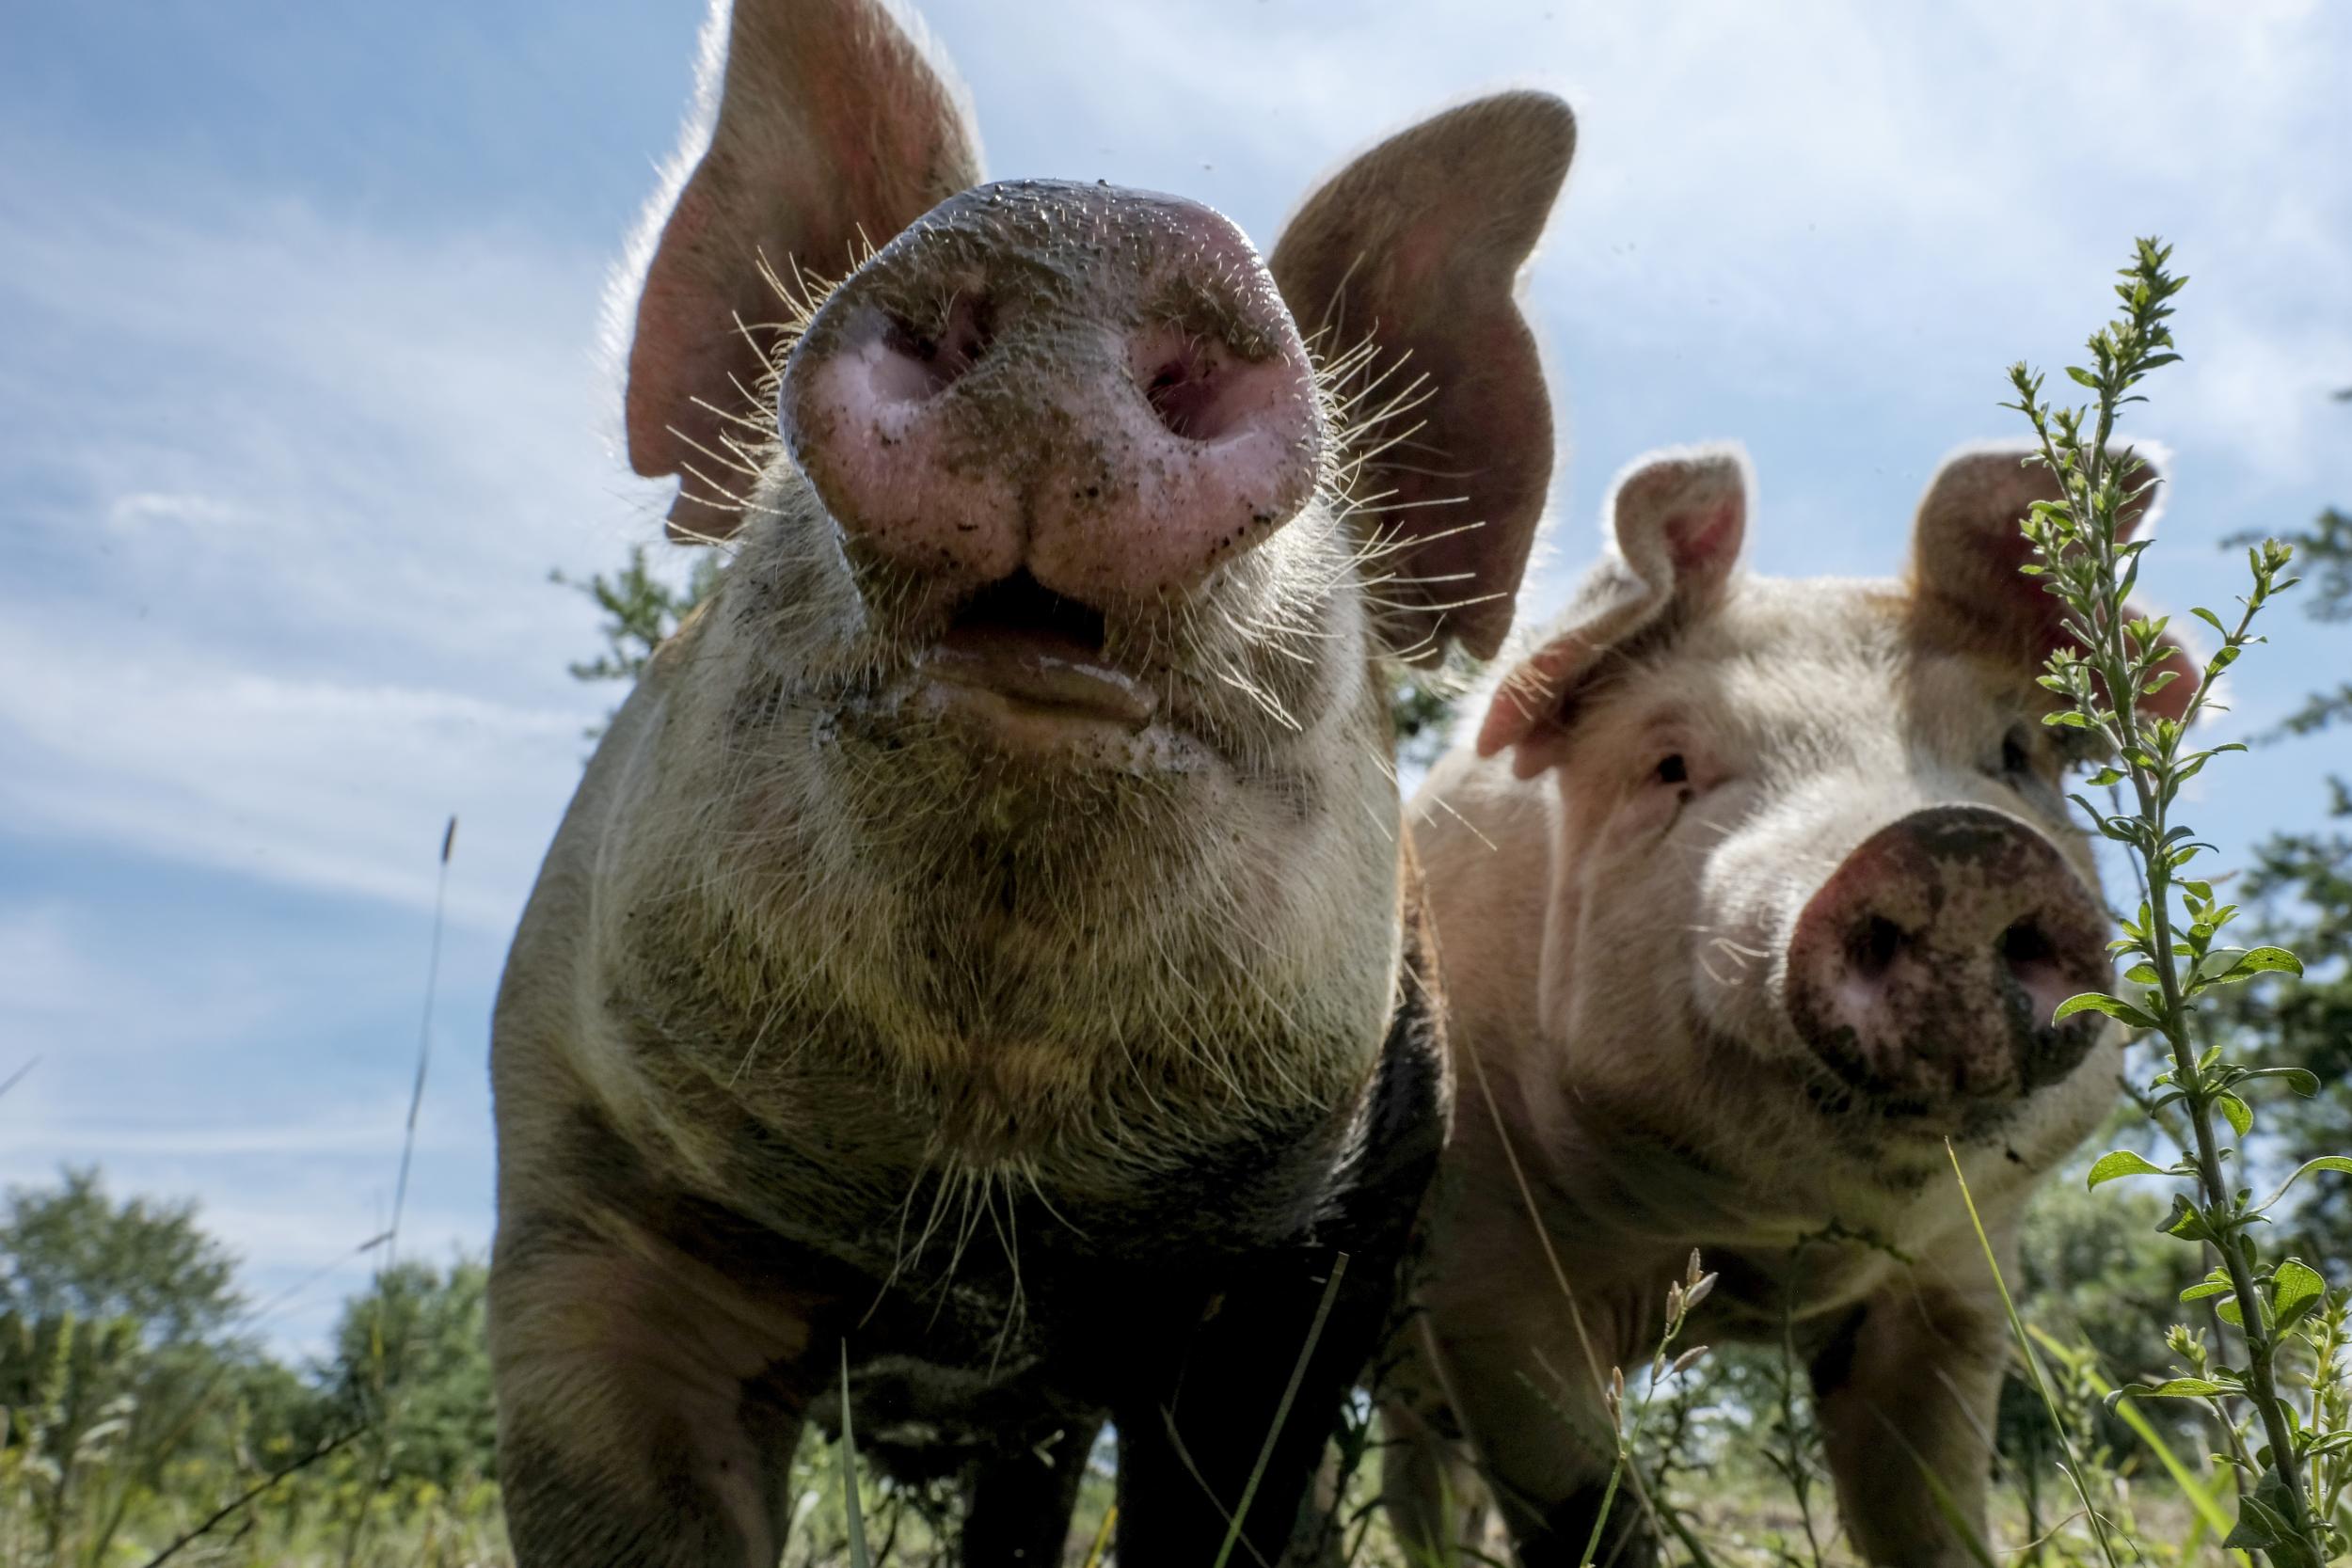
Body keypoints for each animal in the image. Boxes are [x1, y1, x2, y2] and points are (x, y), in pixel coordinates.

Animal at [1383, 435, 2192, 1560]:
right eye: (1670, 764)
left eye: (2015, 753)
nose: (1950, 844)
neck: (1763, 1253)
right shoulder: (1484, 1260)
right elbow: (1587, 1508)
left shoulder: (1960, 1280)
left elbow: (1932, 1518)